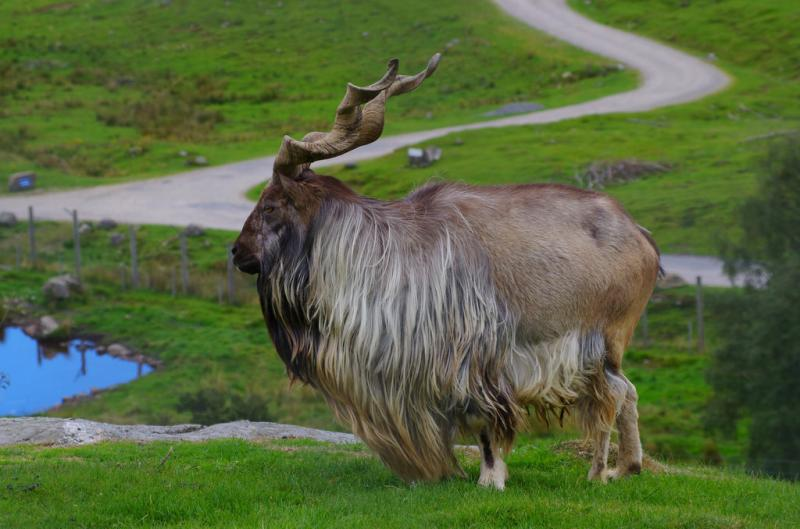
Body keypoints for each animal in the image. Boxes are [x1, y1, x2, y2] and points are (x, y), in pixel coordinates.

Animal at [230, 55, 656, 488]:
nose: (237, 252)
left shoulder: (472, 360)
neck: (380, 255)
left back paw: (597, 472)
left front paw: (490, 480)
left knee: (612, 396)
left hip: (604, 339)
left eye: (270, 206)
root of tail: (640, 236)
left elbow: (486, 425)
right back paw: (629, 466)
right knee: (628, 391)